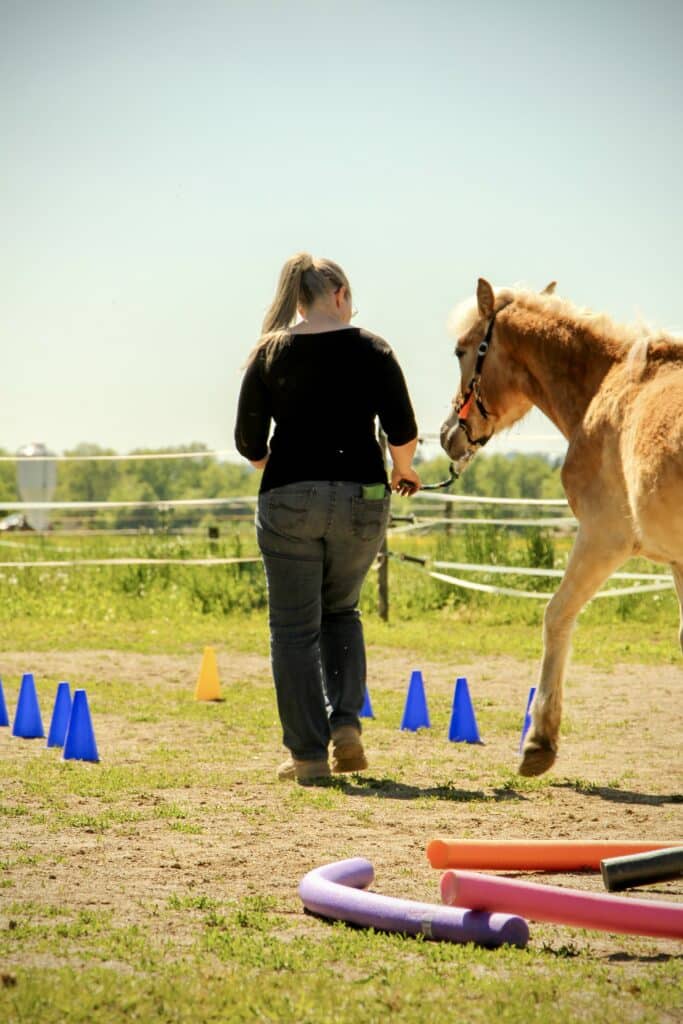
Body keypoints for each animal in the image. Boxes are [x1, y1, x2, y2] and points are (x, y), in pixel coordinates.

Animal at [440, 278, 683, 777]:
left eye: (460, 351)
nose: (447, 434)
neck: (607, 386)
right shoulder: (677, 562)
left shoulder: (602, 538)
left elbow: (556, 616)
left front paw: (538, 743)